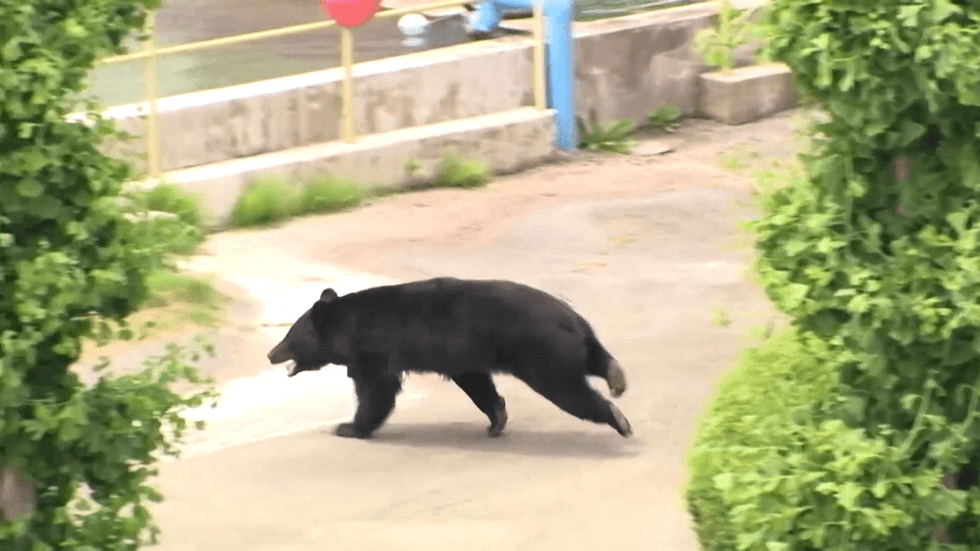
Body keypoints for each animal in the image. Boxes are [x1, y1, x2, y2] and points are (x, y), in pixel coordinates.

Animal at [266, 277, 632, 439]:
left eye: (290, 336)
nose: (270, 354)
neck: (350, 325)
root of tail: (570, 319)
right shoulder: (463, 357)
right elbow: (478, 384)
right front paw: (497, 418)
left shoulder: (374, 350)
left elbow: (376, 390)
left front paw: (348, 426)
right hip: (571, 342)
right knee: (593, 358)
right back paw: (616, 376)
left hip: (541, 352)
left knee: (569, 390)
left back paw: (618, 419)